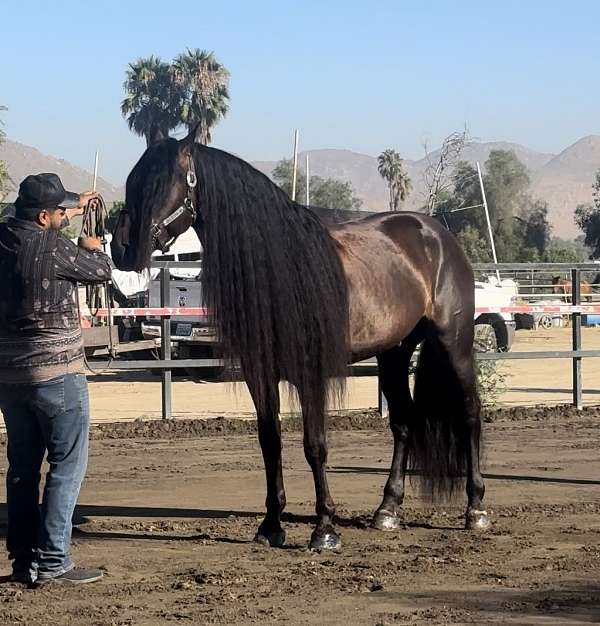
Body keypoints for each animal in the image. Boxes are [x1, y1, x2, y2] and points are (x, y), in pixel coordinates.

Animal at [111, 124, 488, 548]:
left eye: (165, 182)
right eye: (133, 179)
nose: (122, 247)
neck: (282, 264)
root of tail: (438, 233)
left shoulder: (310, 371)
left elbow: (315, 445)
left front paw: (324, 528)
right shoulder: (260, 373)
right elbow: (270, 441)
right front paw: (271, 525)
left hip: (453, 342)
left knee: (470, 413)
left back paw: (475, 509)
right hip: (394, 351)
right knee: (403, 422)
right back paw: (387, 510)